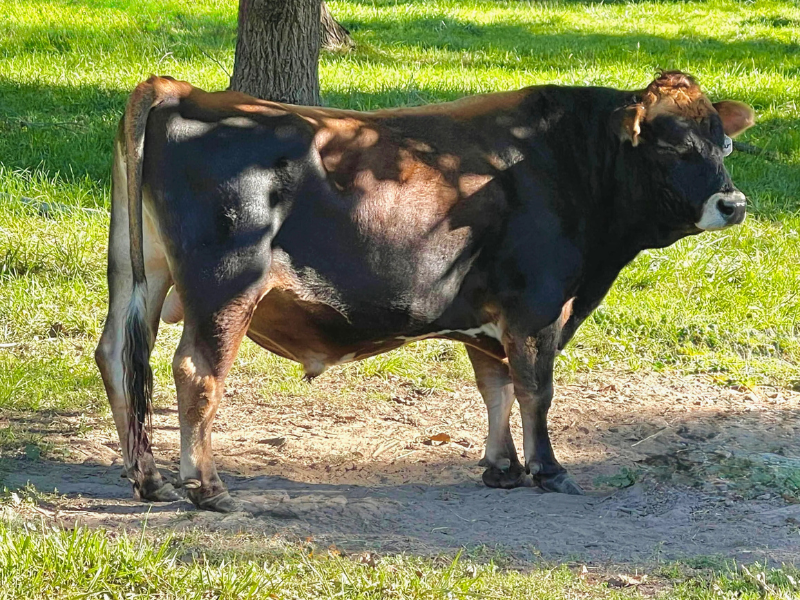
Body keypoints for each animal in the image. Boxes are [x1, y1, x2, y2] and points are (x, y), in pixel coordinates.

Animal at [94, 71, 754, 512]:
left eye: (723, 144)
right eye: (675, 144)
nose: (734, 202)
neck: (568, 163)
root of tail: (183, 89)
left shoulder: (491, 316)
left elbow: (497, 389)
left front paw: (502, 468)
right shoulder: (538, 308)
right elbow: (535, 391)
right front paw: (547, 470)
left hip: (137, 275)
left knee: (118, 357)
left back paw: (148, 479)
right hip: (226, 286)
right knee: (196, 372)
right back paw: (207, 488)